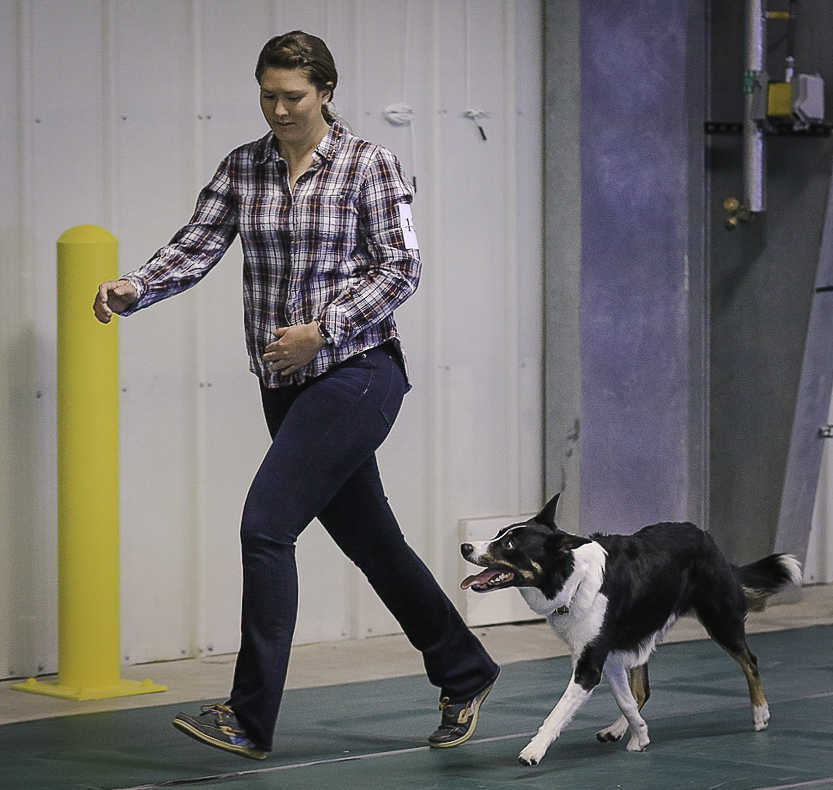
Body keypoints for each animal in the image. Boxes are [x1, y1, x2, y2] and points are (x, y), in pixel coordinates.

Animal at [460, 493, 802, 766]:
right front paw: (640, 735)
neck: (572, 578)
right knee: (642, 689)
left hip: (720, 619)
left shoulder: (590, 664)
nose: (465, 546)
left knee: (750, 661)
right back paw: (617, 730)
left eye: (508, 544)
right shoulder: (605, 653)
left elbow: (558, 712)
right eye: (498, 534)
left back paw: (760, 712)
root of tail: (704, 534)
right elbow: (626, 699)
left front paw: (533, 751)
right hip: (640, 632)